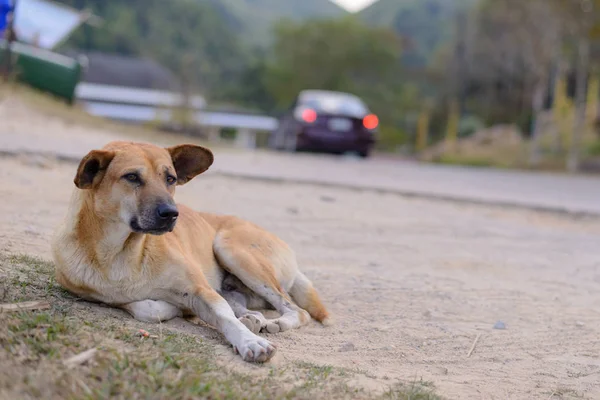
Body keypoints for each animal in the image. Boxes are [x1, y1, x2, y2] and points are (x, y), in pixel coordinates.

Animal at [52, 141, 330, 362]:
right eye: (132, 177)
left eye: (170, 179)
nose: (171, 213)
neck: (125, 252)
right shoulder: (98, 293)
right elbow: (147, 308)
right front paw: (175, 308)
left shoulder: (200, 289)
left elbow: (223, 316)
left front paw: (249, 341)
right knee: (244, 305)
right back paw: (252, 318)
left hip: (231, 249)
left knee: (297, 310)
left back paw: (274, 322)